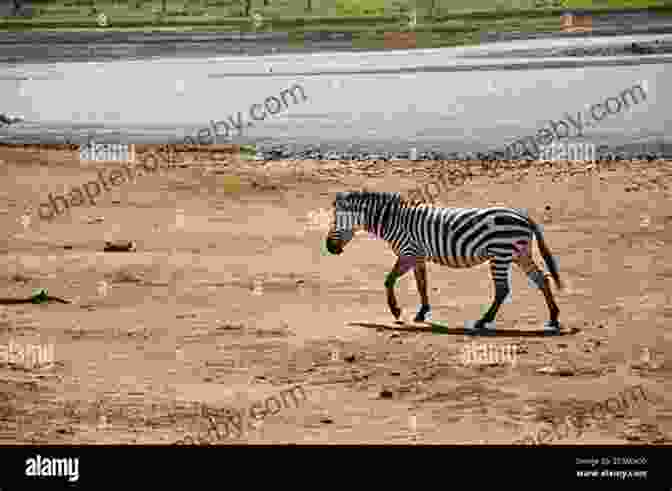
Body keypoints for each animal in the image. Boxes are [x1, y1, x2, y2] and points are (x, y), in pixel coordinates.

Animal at [322, 190, 564, 332]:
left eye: (335, 221)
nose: (329, 248)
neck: (393, 221)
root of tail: (523, 216)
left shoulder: (408, 253)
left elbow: (388, 280)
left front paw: (396, 311)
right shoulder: (417, 255)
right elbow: (421, 284)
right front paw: (422, 312)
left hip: (500, 253)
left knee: (503, 289)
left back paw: (482, 321)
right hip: (520, 253)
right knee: (542, 279)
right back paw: (553, 318)